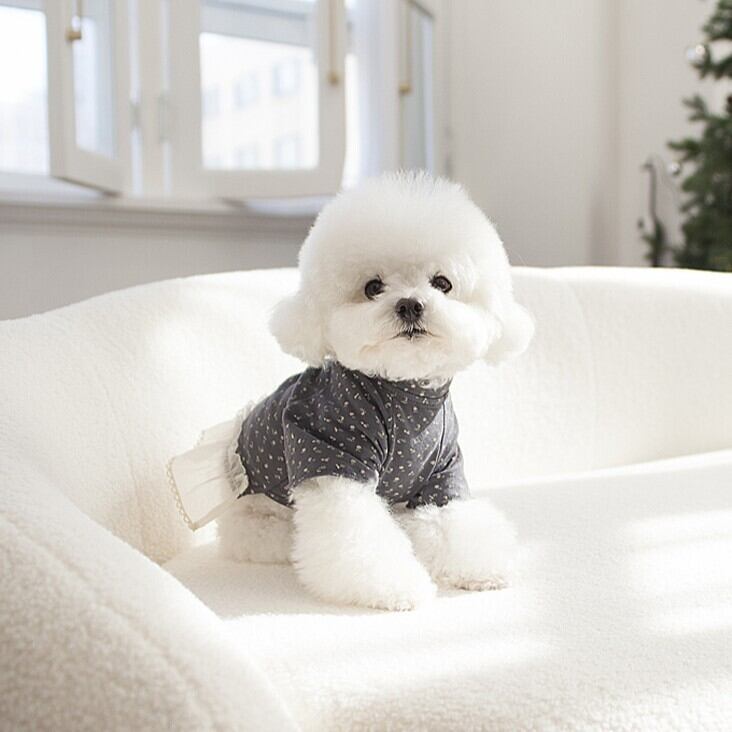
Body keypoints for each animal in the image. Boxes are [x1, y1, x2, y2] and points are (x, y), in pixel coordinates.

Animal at [214, 172, 533, 611]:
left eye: (442, 283)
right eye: (372, 287)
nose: (411, 305)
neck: (404, 394)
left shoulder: (441, 473)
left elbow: (454, 523)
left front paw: (482, 567)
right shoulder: (328, 449)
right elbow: (357, 535)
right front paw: (398, 587)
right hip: (260, 517)